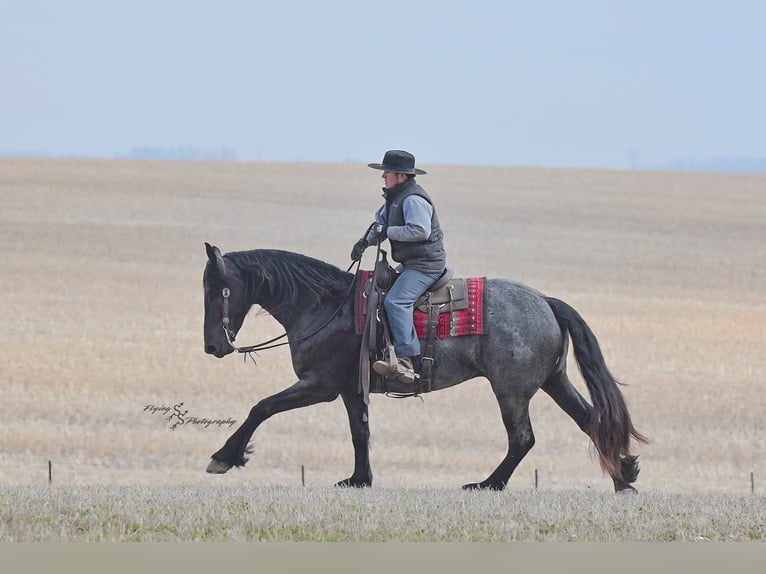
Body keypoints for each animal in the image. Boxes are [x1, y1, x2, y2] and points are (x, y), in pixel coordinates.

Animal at [202, 242, 647, 491]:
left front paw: (225, 456)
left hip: (511, 390)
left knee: (522, 438)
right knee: (591, 421)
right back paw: (623, 478)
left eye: (218, 288)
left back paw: (488, 484)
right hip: (554, 381)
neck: (325, 304)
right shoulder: (350, 389)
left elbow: (261, 407)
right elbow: (360, 433)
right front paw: (359, 480)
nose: (212, 346)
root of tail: (545, 301)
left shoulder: (320, 385)